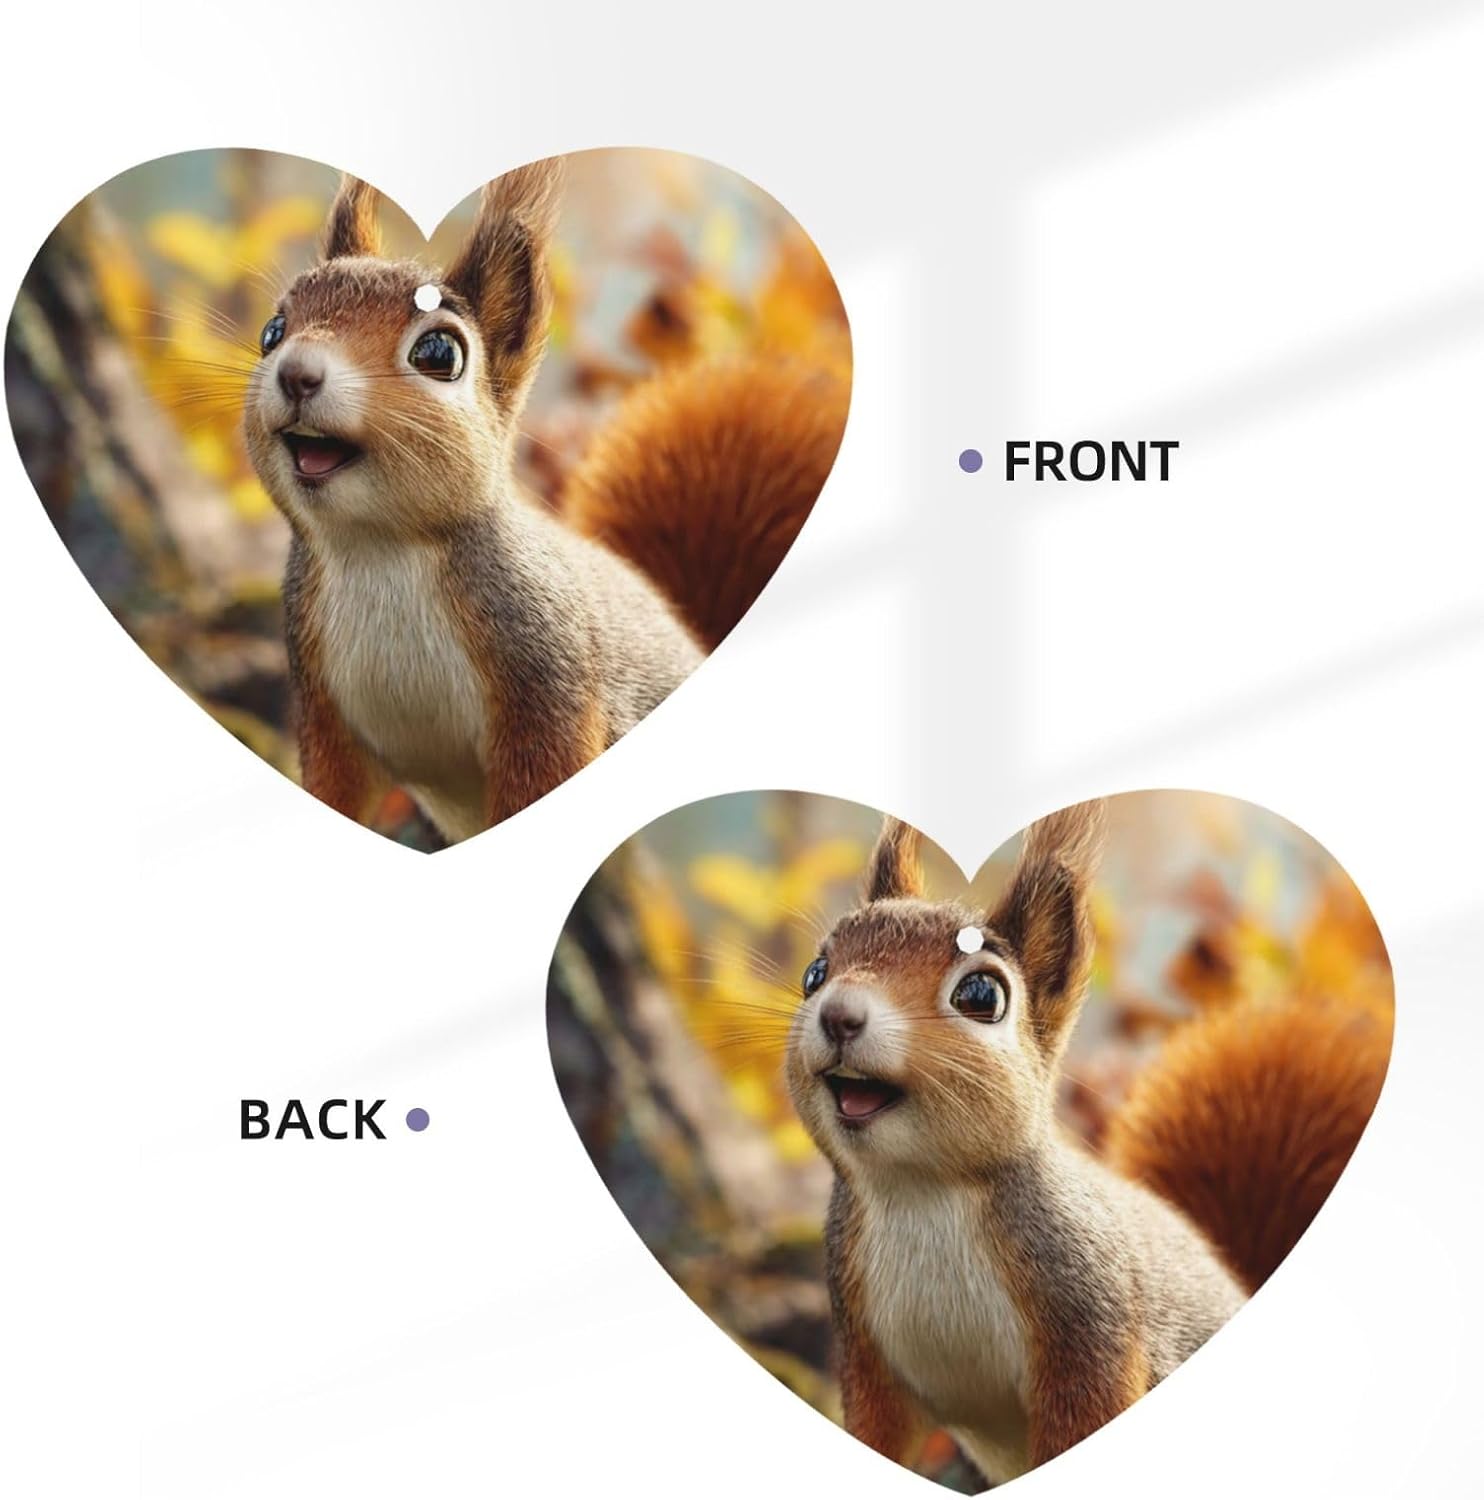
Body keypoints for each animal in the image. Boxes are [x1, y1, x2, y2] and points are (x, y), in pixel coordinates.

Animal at [243, 160, 847, 841]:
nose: (297, 373)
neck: (379, 550)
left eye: (439, 353)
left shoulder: (548, 685)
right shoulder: (322, 703)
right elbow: (335, 790)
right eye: (272, 331)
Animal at [785, 801, 1390, 1484]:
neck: (921, 1192)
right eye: (814, 973)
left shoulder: (1090, 1324)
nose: (839, 1014)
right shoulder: (866, 1349)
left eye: (981, 994)